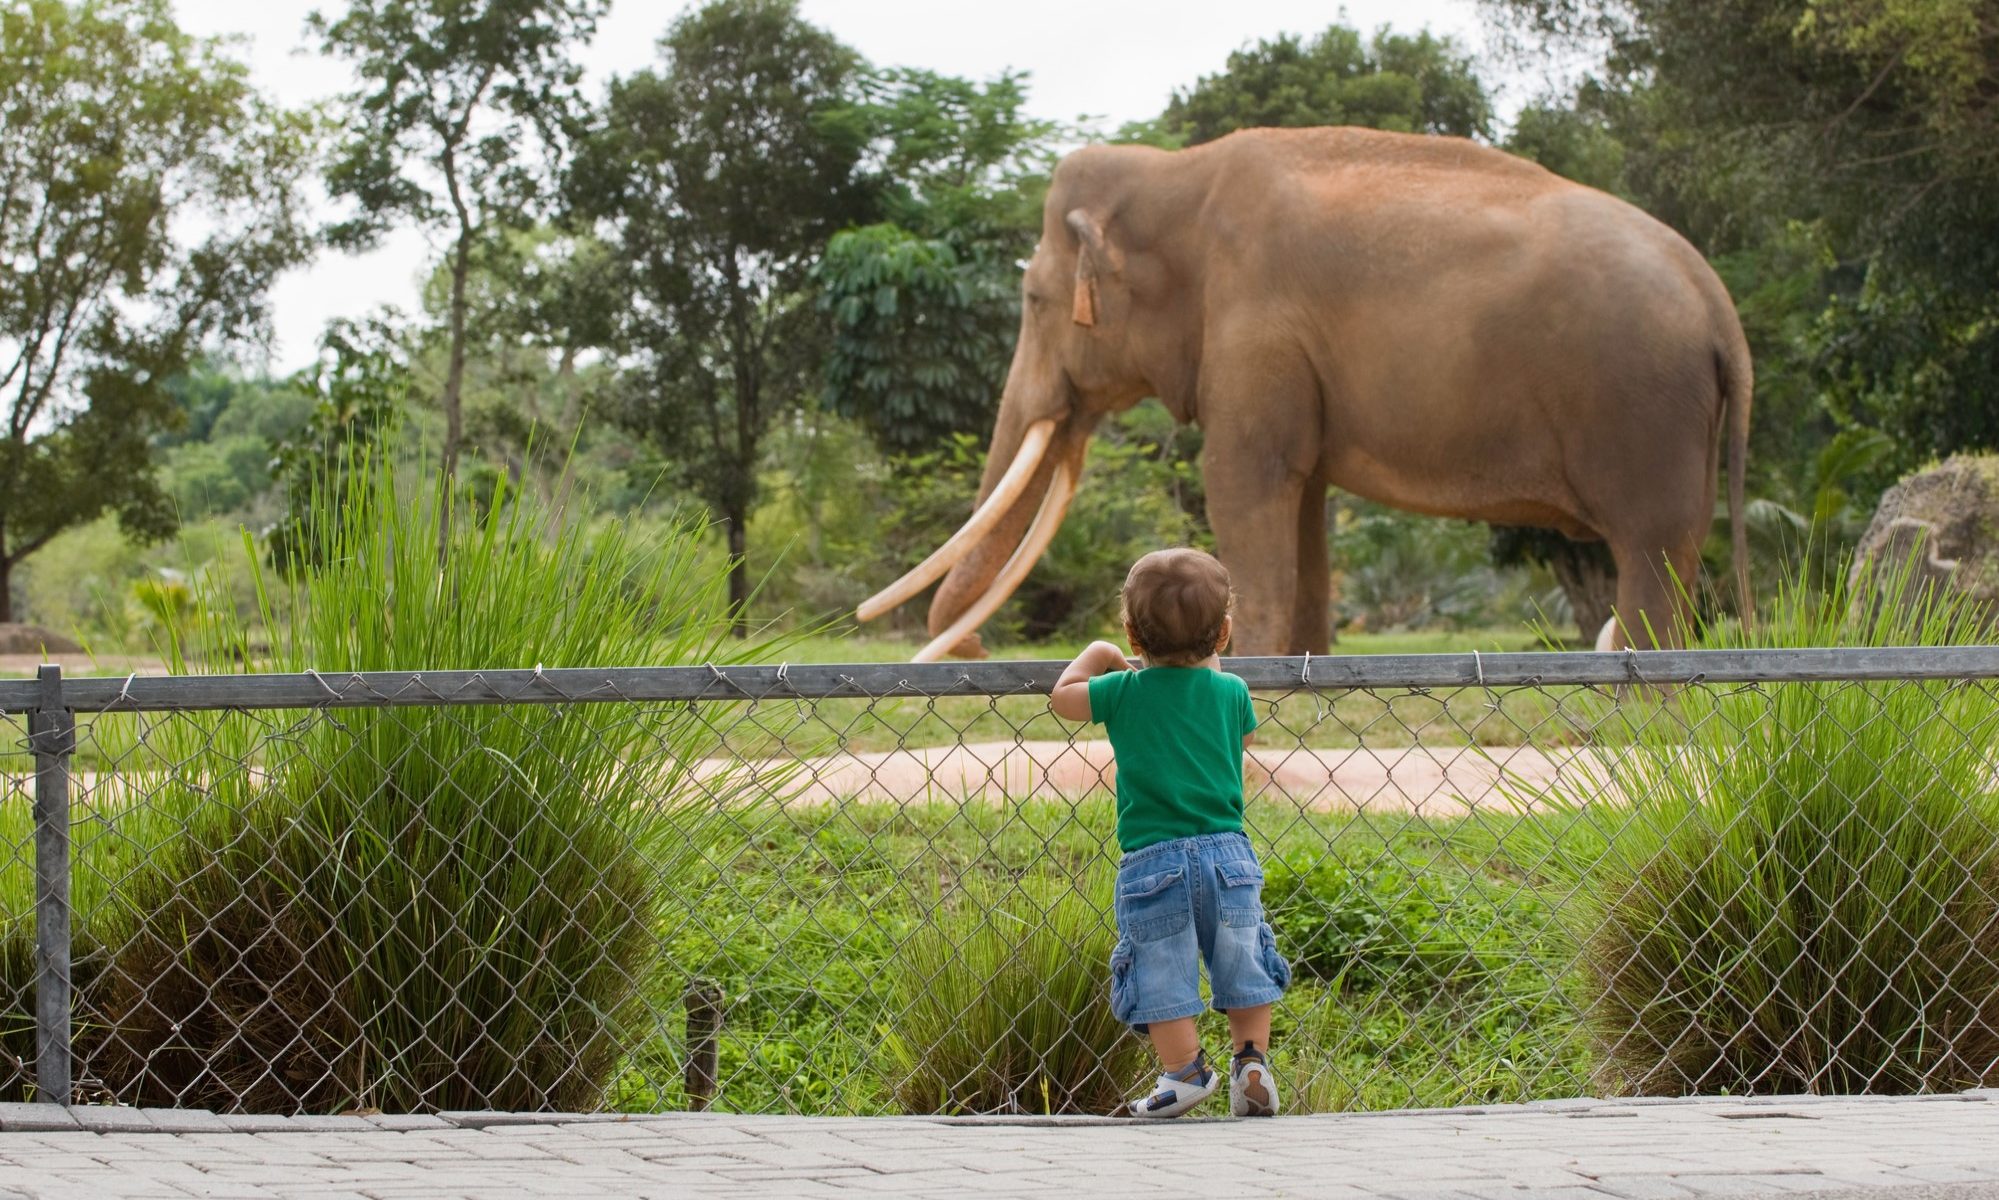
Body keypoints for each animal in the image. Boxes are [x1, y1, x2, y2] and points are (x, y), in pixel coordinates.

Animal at [859, 126, 1751, 660]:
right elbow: (1304, 504)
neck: (1175, 171)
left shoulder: (1254, 328)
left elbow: (1241, 483)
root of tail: (1720, 309)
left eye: (1034, 301)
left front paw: (1245, 672)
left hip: (1642, 409)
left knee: (1650, 547)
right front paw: (1307, 672)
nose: (975, 652)